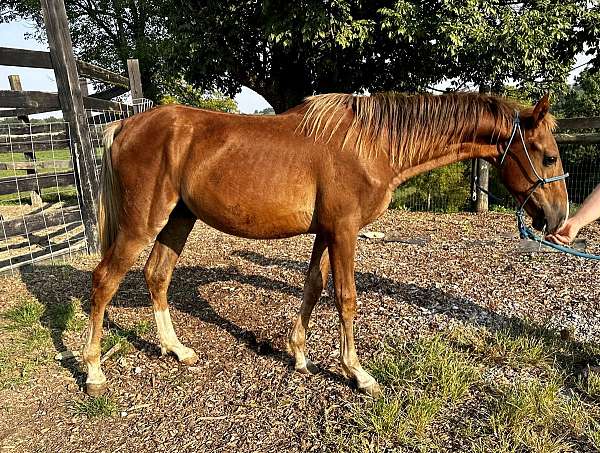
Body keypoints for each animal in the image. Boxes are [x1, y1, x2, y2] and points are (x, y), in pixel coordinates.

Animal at [83, 92, 568, 396]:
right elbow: (346, 297)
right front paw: (357, 372)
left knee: (157, 274)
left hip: (178, 219)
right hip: (141, 223)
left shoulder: (325, 233)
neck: (372, 144)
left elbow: (313, 288)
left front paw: (299, 354)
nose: (558, 218)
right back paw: (92, 372)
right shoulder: (345, 231)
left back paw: (176, 349)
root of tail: (124, 124)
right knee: (104, 280)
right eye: (547, 156)